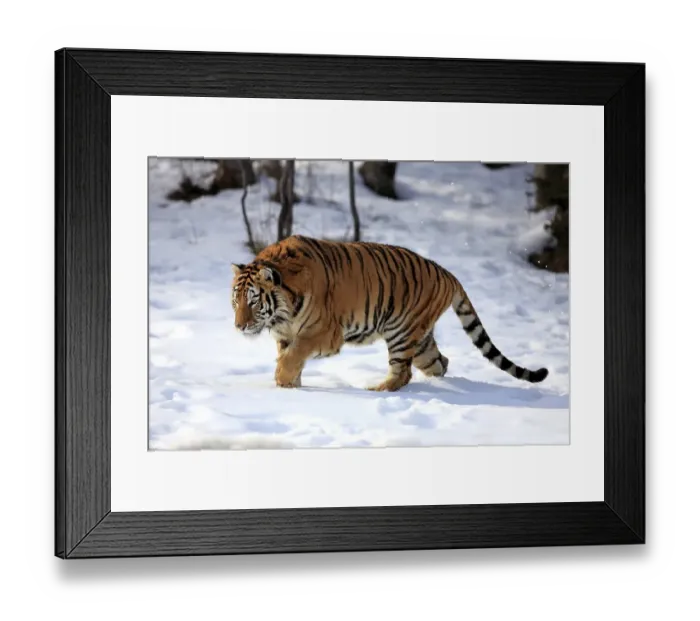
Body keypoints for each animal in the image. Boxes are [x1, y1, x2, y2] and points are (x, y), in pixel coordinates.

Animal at [230, 234, 549, 392]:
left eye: (254, 301)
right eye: (236, 301)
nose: (239, 327)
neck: (281, 313)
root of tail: (447, 272)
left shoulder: (324, 333)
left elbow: (294, 354)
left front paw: (283, 379)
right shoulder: (286, 334)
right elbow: (290, 356)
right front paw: (290, 387)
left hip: (402, 333)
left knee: (403, 372)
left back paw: (379, 390)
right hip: (421, 342)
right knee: (440, 362)